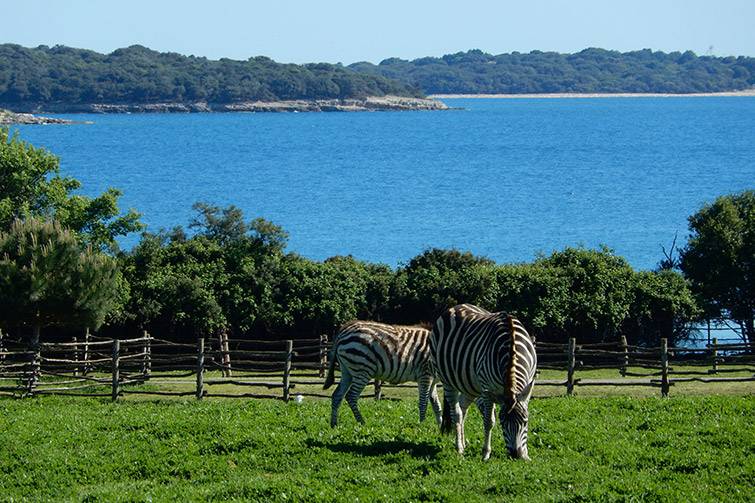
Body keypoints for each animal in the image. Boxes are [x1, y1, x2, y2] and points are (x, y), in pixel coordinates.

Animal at [432, 304, 536, 460]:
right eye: (503, 423)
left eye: (525, 422)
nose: (515, 455)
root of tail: (457, 306)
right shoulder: (488, 390)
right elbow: (489, 421)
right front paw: (486, 453)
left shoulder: (528, 383)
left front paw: (526, 454)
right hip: (448, 381)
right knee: (456, 413)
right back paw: (459, 448)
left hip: (469, 385)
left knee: (463, 409)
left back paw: (463, 442)